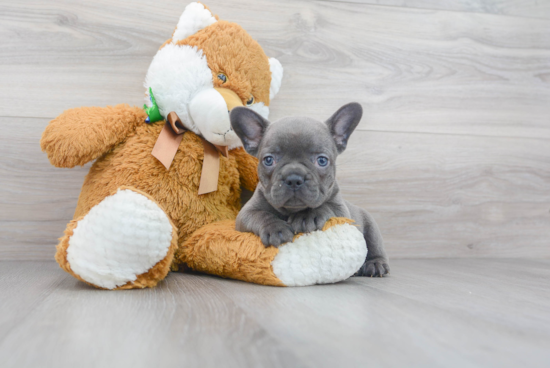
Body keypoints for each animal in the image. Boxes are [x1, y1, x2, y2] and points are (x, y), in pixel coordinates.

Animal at [231, 103, 390, 276]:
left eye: (322, 160)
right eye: (268, 160)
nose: (294, 178)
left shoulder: (342, 211)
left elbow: (326, 206)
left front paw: (307, 216)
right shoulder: (245, 214)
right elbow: (261, 215)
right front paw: (276, 229)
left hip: (371, 227)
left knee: (375, 246)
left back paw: (375, 264)